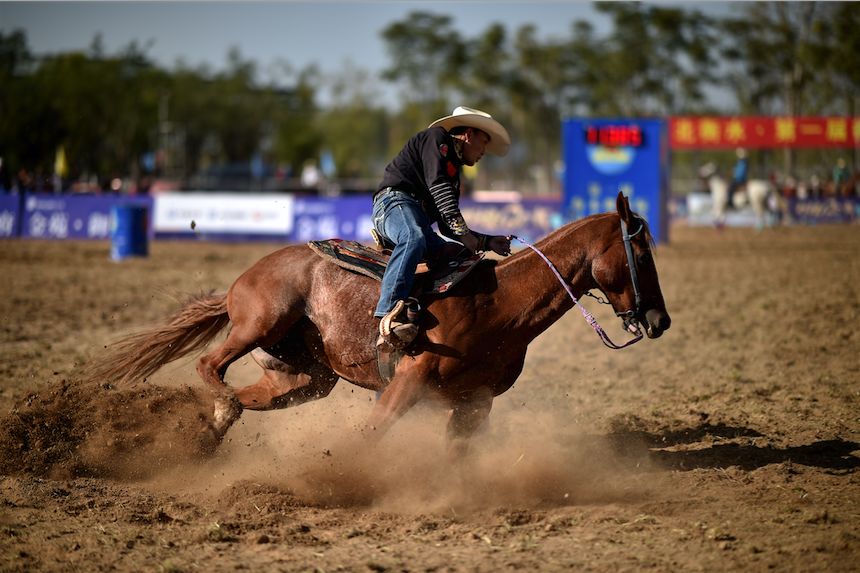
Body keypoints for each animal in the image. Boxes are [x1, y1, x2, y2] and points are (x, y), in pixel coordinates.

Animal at [87, 194, 672, 454]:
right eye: (641, 254)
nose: (660, 319)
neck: (498, 304)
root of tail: (242, 278)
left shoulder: (475, 401)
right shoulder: (407, 383)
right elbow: (369, 436)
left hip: (301, 379)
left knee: (247, 396)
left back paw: (206, 434)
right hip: (259, 323)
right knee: (210, 365)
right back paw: (215, 411)